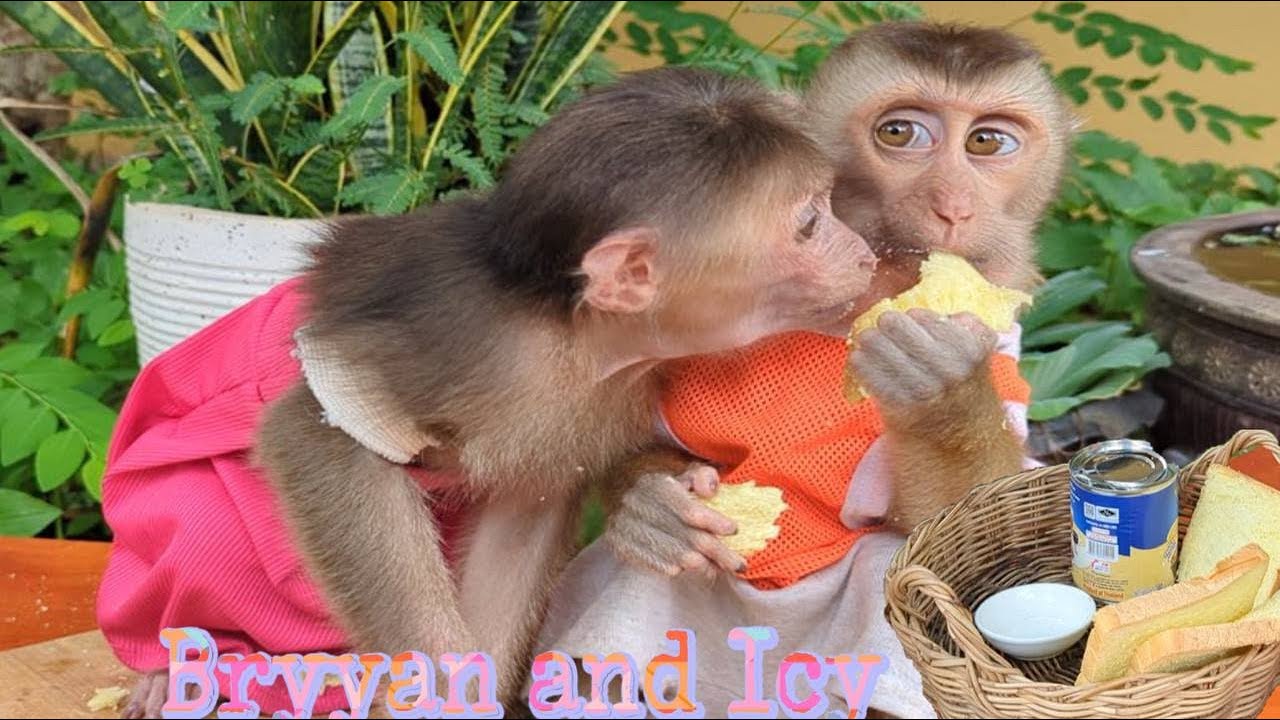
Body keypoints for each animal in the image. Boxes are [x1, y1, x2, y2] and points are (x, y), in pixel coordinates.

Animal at [96, 66, 877, 718]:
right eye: (811, 223)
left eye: (828, 210)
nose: (865, 252)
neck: (574, 327)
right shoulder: (465, 345)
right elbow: (315, 435)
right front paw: (440, 693)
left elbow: (526, 506)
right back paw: (179, 665)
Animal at [534, 23, 1075, 719]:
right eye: (900, 133)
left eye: (988, 142)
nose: (953, 207)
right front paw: (654, 509)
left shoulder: (1003, 351)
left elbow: (966, 524)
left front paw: (942, 394)